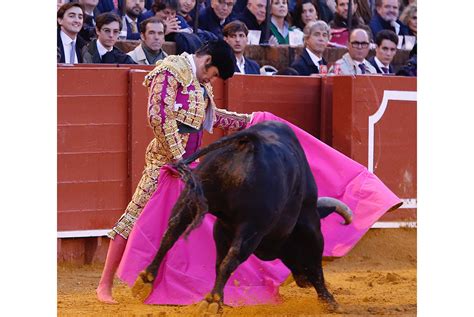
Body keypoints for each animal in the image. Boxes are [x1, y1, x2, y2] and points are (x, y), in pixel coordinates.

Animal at [131, 119, 350, 312]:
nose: (302, 282)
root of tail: (250, 140)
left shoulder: (221, 228)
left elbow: (218, 262)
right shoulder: (310, 230)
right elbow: (315, 264)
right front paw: (330, 302)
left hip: (190, 199)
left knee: (172, 232)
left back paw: (146, 280)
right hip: (253, 226)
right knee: (234, 255)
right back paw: (212, 302)